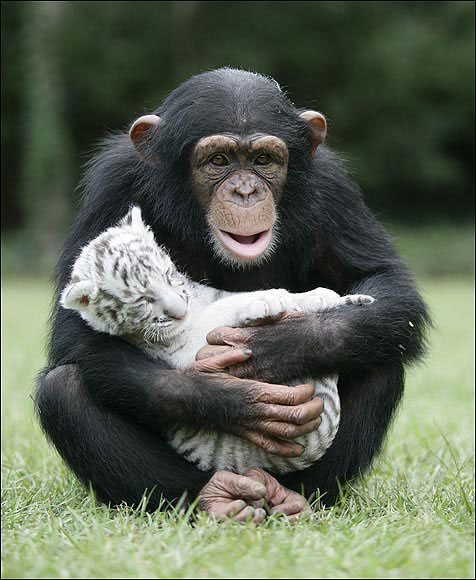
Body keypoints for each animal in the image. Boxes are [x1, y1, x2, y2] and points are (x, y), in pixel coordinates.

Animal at [33, 69, 428, 520]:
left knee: (380, 353)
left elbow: (386, 284)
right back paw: (217, 497)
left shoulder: (333, 186)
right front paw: (229, 396)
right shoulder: (111, 184)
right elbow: (73, 335)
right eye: (218, 161)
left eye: (263, 161)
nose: (244, 191)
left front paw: (282, 343)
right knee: (62, 387)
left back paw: (297, 499)